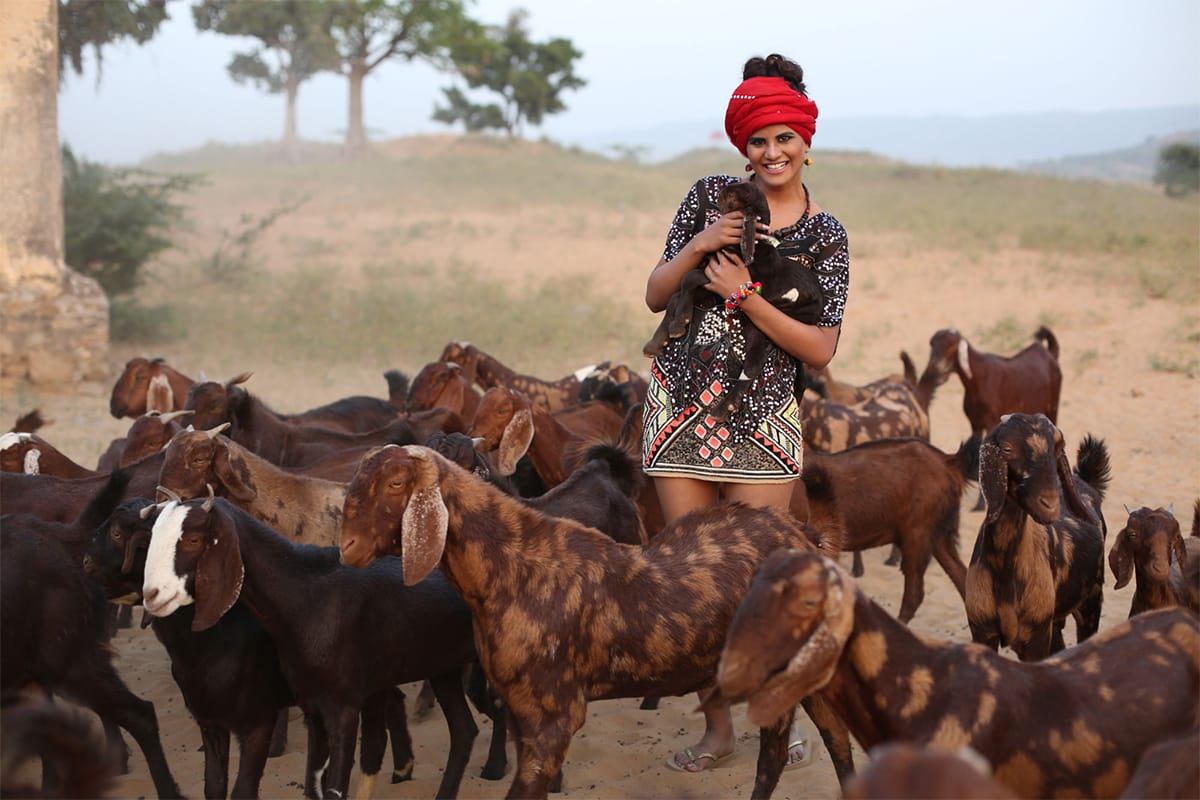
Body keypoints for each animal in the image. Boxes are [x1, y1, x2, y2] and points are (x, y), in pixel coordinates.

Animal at [338, 443, 854, 800]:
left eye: (395, 484)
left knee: (775, 758)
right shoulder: (521, 711)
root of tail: (807, 537)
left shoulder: (553, 716)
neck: (512, 567)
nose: (347, 549)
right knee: (838, 739)